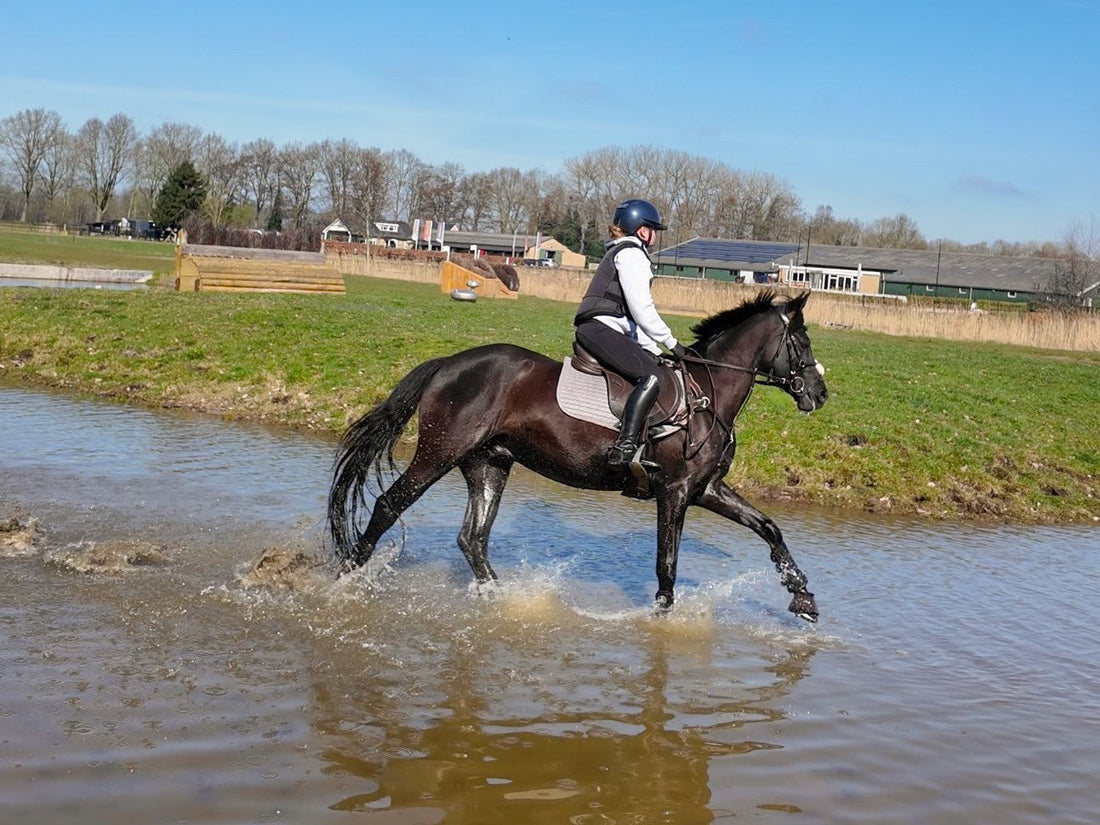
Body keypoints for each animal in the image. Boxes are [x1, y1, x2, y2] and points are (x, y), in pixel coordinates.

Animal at [328, 290, 828, 622]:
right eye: (802, 343)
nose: (821, 394)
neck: (709, 394)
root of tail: (448, 363)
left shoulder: (705, 489)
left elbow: (769, 528)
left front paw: (802, 595)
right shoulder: (675, 492)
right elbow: (667, 563)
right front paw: (662, 622)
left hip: (489, 462)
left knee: (473, 538)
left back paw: (502, 600)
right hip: (440, 452)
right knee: (389, 505)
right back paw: (345, 580)